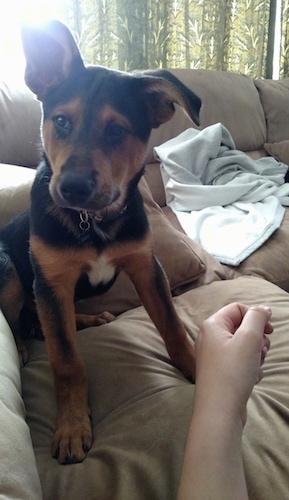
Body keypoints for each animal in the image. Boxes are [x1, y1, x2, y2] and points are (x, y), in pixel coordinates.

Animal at [0, 19, 200, 464]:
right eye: (61, 121)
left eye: (117, 130)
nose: (71, 189)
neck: (92, 223)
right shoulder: (50, 282)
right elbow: (66, 362)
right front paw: (73, 427)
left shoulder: (147, 267)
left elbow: (173, 325)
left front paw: (197, 365)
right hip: (9, 270)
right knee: (22, 321)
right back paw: (21, 347)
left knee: (45, 321)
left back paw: (87, 320)